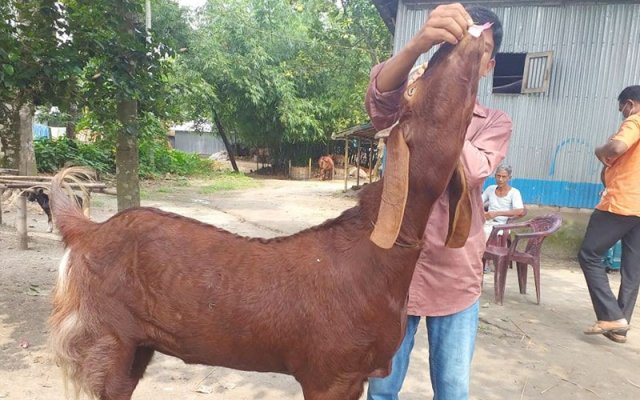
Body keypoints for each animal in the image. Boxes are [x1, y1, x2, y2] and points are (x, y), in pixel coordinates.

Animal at [47, 33, 482, 400]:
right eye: (412, 87)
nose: (459, 39)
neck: (377, 252)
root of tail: (84, 230)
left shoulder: (356, 375)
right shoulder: (329, 373)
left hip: (137, 346)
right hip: (106, 338)